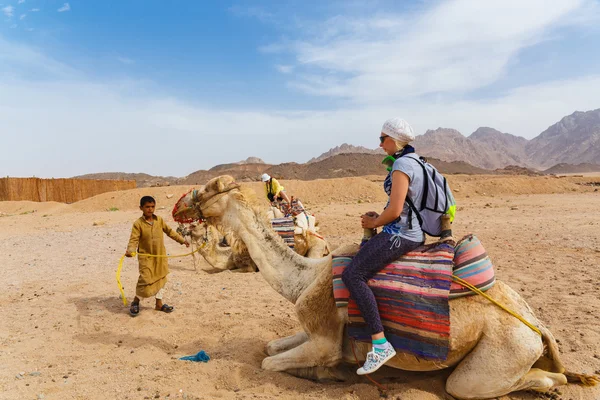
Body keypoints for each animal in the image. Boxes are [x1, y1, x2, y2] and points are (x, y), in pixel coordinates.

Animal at [190, 177, 596, 400]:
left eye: (209, 190)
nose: (183, 206)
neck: (305, 278)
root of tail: (535, 325)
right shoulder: (314, 329)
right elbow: (271, 347)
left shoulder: (323, 337)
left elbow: (270, 361)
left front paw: (327, 374)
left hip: (502, 352)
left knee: (472, 385)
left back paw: (551, 387)